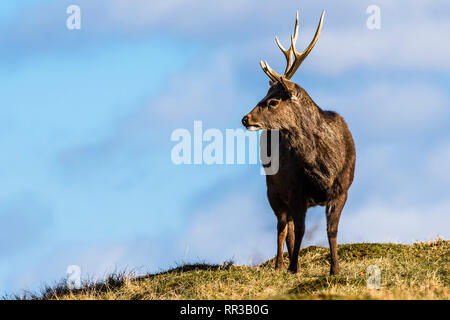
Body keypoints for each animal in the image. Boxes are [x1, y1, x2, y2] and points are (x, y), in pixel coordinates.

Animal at [243, 11, 356, 274]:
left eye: (272, 101)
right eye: (264, 96)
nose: (245, 118)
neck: (325, 166)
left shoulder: (342, 189)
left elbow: (331, 230)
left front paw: (335, 269)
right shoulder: (297, 188)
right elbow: (301, 230)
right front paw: (293, 267)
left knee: (289, 226)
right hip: (273, 188)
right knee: (282, 226)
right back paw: (279, 264)